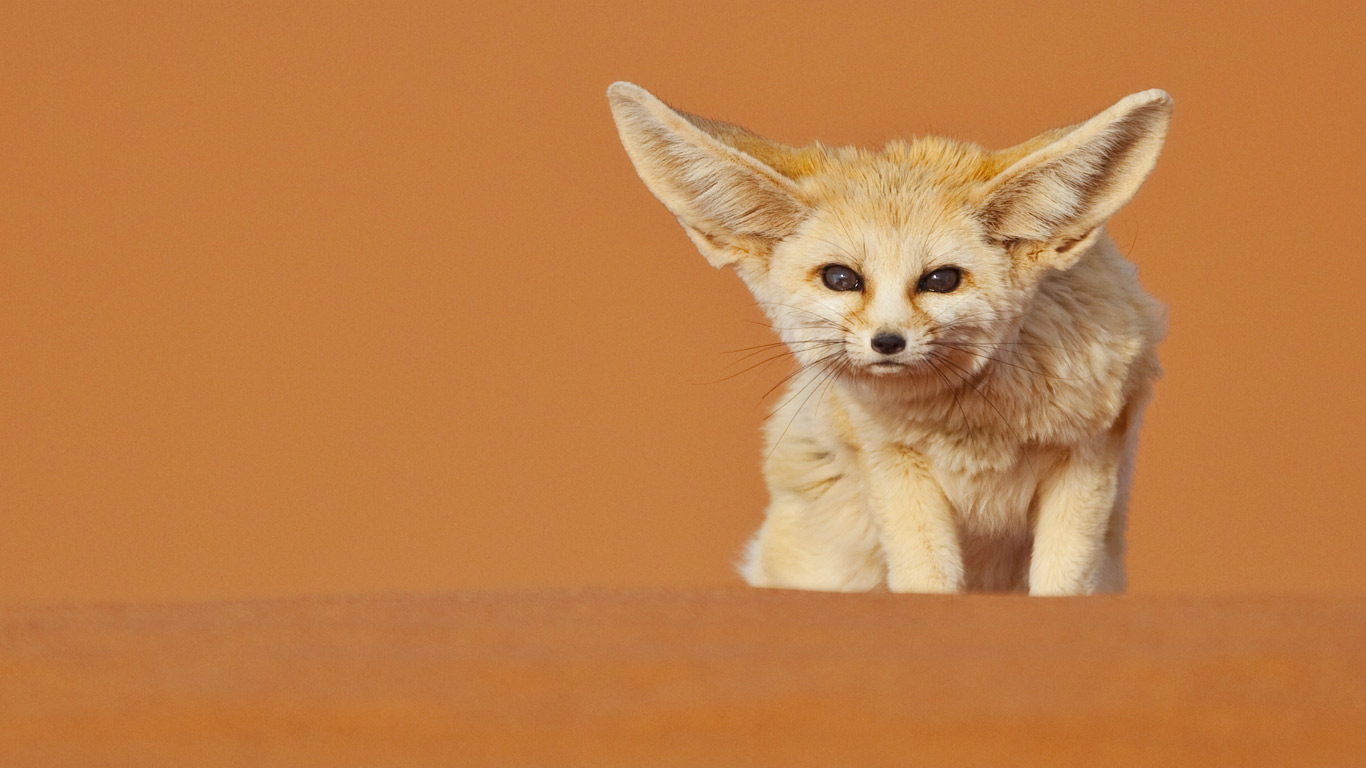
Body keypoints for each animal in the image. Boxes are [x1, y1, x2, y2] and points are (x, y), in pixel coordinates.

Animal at [607, 82, 1171, 595]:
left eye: (941, 280)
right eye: (841, 278)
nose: (887, 342)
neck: (977, 424)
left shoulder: (1090, 454)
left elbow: (1061, 583)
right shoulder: (892, 463)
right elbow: (926, 579)